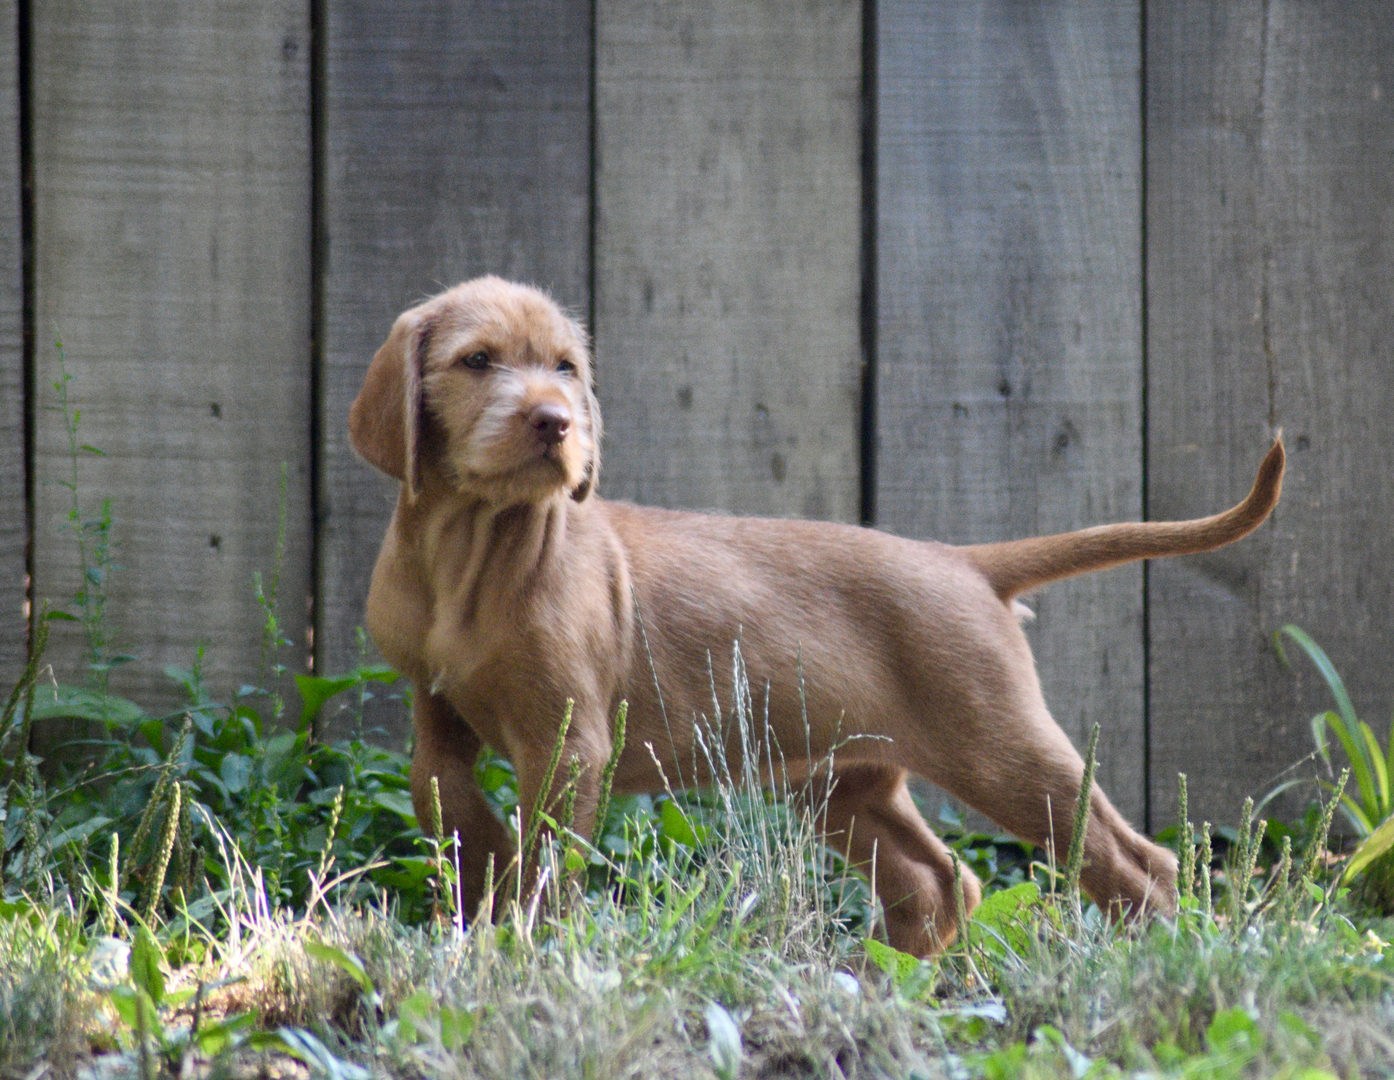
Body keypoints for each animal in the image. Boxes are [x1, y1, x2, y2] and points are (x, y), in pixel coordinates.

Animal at [348, 274, 1282, 958]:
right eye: (476, 361)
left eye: (567, 368)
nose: (555, 422)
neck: (475, 550)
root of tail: (965, 562)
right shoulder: (436, 711)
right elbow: (447, 802)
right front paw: (477, 895)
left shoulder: (570, 743)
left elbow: (546, 855)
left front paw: (522, 940)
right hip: (843, 780)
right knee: (937, 880)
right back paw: (892, 981)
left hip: (998, 746)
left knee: (1134, 859)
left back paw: (1148, 962)